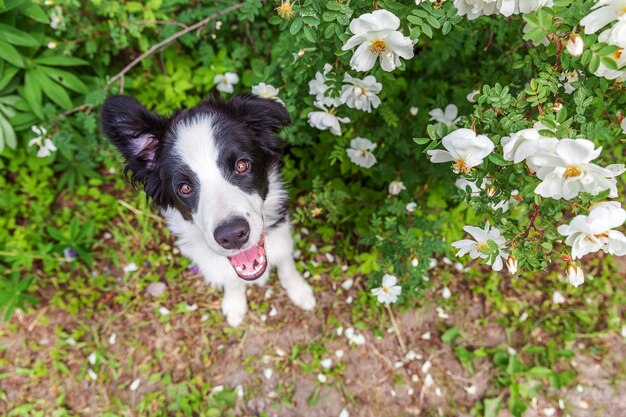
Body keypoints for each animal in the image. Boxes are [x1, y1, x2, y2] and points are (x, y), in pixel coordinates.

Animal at [103, 93, 316, 324]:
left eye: (241, 165)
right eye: (185, 187)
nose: (232, 235)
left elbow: (286, 261)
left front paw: (299, 291)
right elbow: (231, 280)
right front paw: (234, 305)